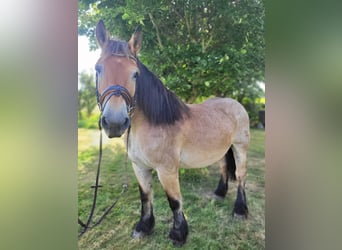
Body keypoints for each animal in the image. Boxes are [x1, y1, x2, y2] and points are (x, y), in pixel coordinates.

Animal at [95, 20, 250, 246]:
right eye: (98, 69)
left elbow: (174, 201)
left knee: (240, 175)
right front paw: (144, 227)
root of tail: (235, 103)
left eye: (135, 74)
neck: (153, 123)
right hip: (222, 149)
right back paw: (219, 194)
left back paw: (240, 210)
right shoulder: (139, 166)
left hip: (240, 147)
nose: (114, 122)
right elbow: (145, 196)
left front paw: (178, 234)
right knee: (223, 168)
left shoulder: (167, 170)